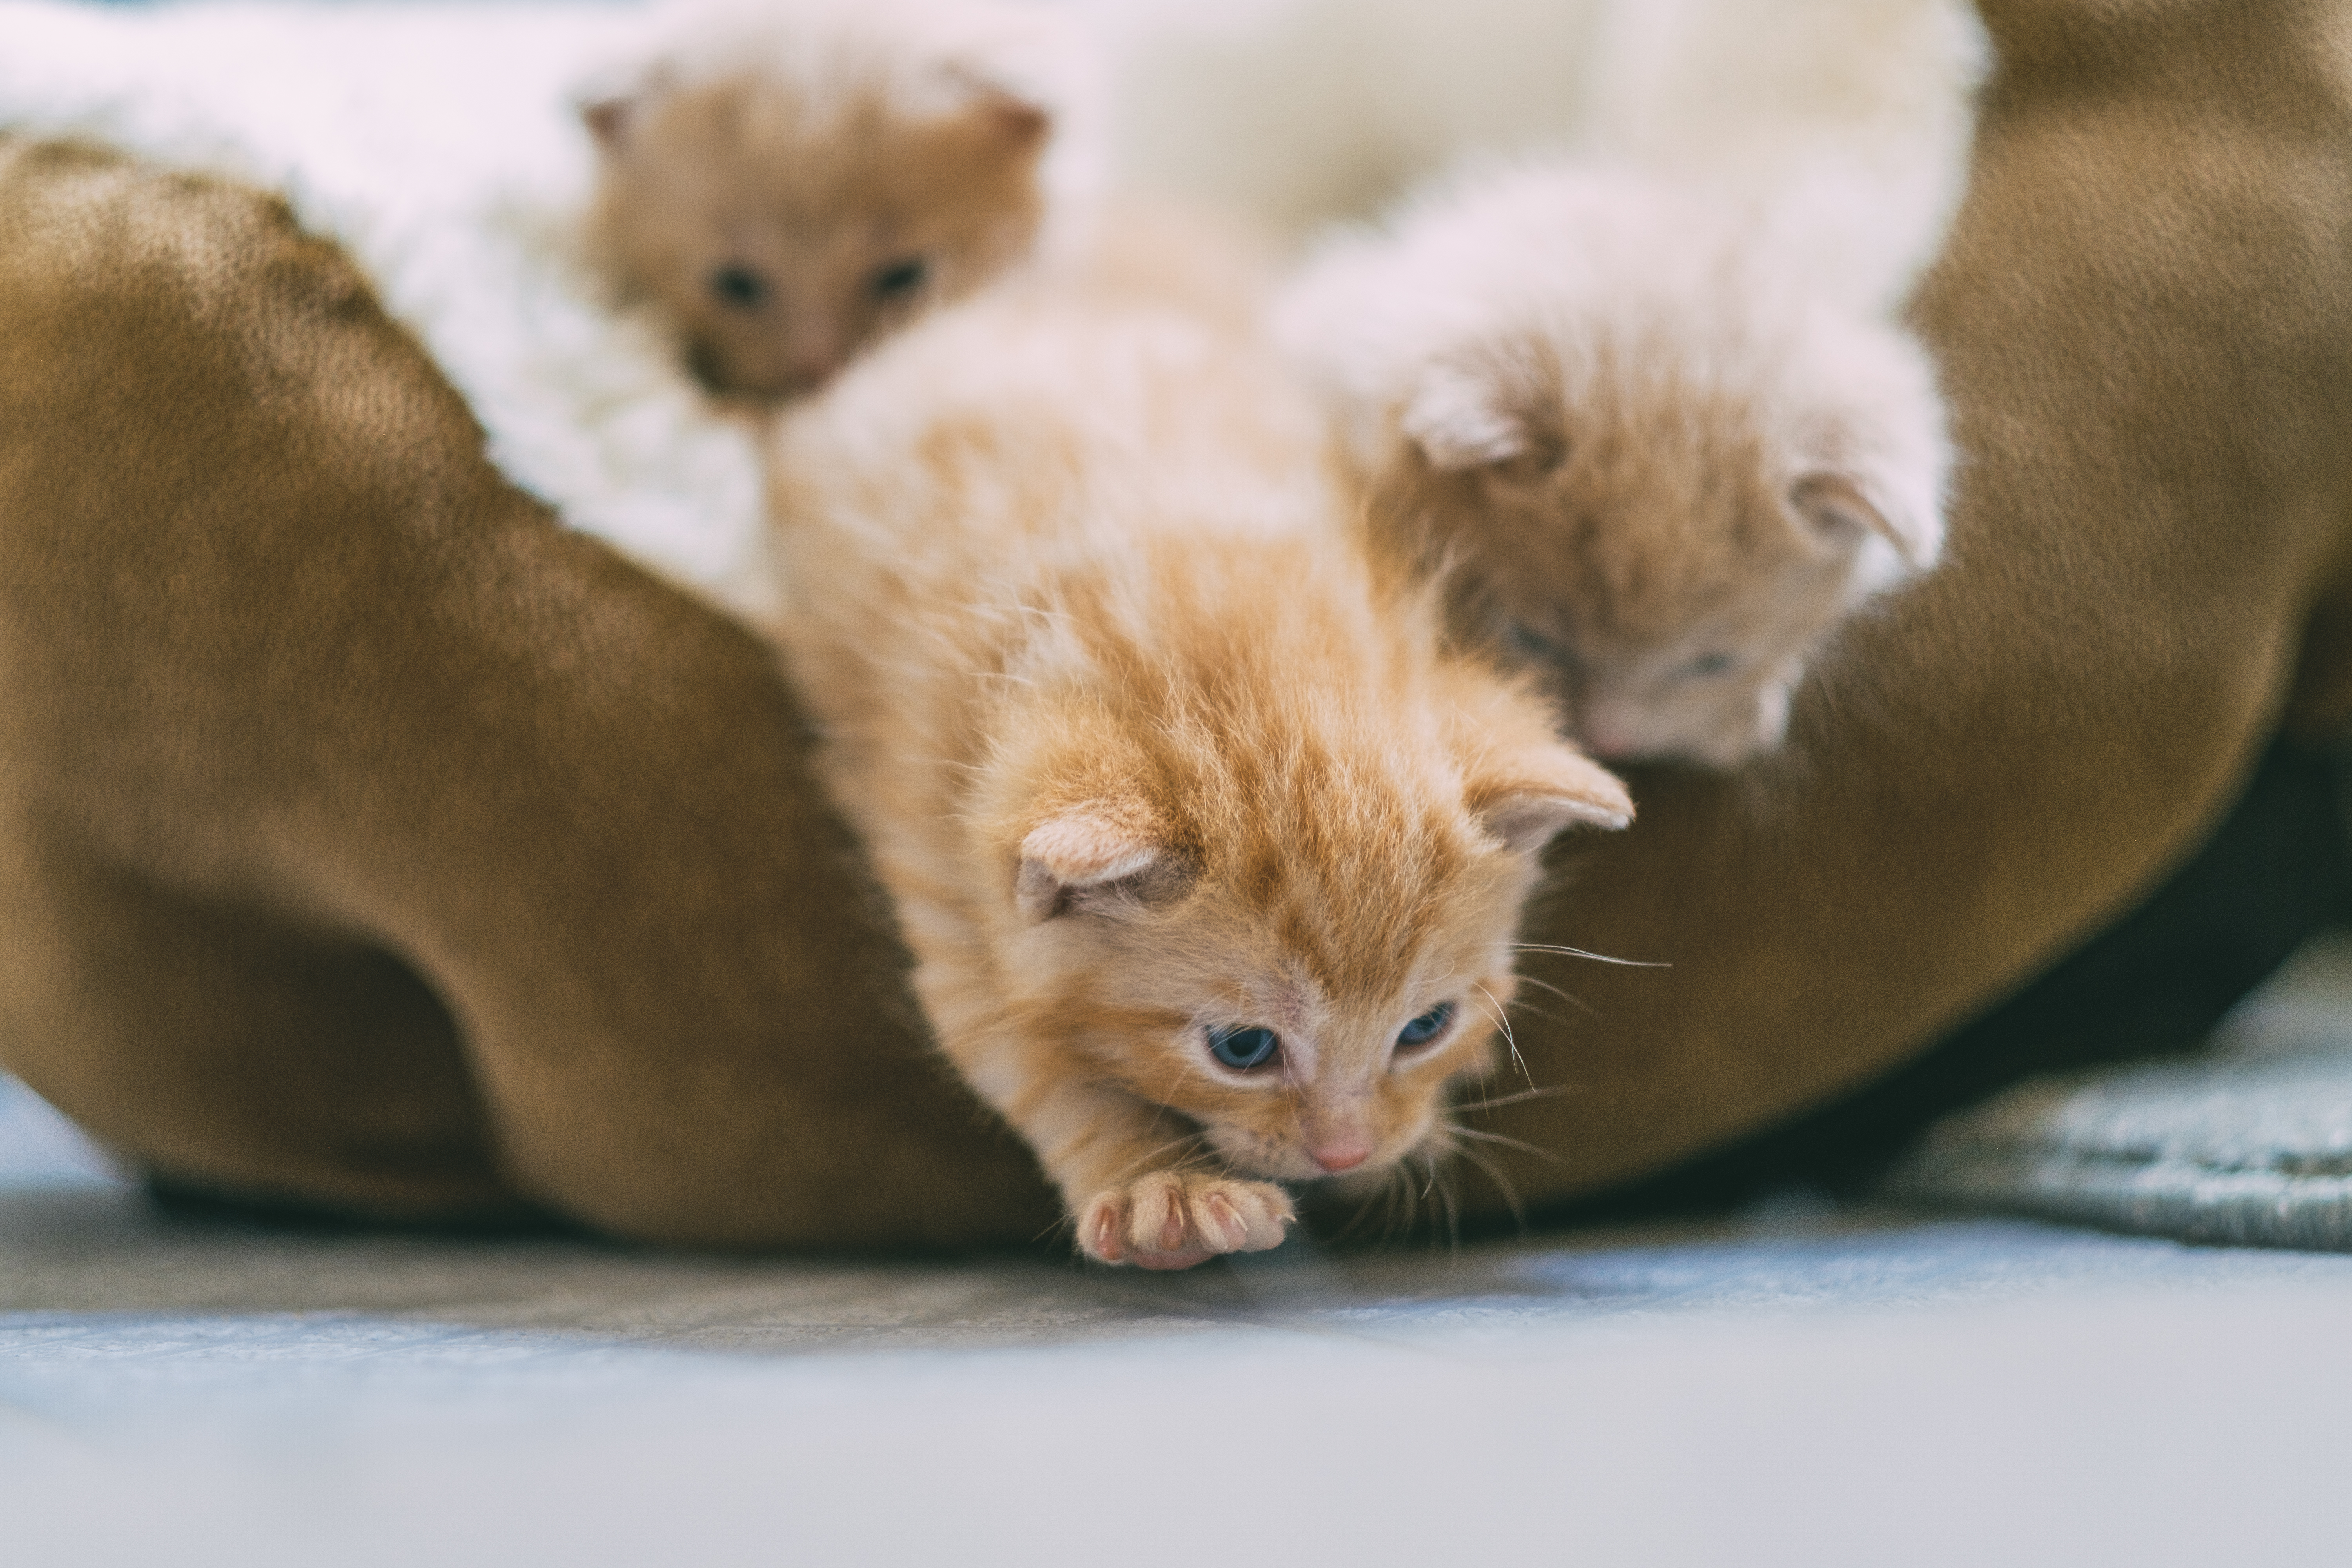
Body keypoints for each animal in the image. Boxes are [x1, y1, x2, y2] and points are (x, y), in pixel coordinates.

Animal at [762, 272, 1628, 1279]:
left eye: (1425, 1028)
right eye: (1243, 1048)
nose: (1346, 1151)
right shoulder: (942, 855)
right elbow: (1034, 1057)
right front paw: (1156, 1186)